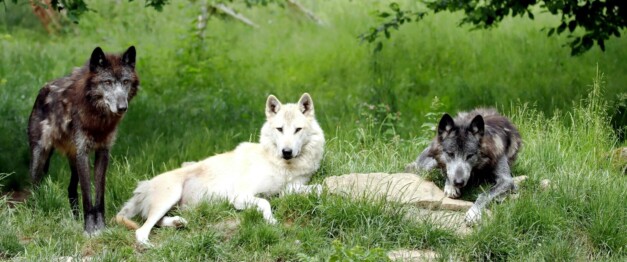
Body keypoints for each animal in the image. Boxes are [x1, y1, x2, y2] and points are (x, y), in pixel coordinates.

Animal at [28, 45, 140, 235]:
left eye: (125, 82)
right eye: (107, 82)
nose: (122, 107)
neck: (98, 119)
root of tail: (42, 90)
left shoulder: (102, 152)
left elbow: (99, 196)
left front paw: (101, 228)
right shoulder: (83, 153)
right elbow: (87, 196)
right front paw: (89, 230)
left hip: (73, 160)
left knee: (71, 189)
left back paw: (75, 220)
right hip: (40, 156)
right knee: (34, 187)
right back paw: (35, 217)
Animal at [114, 92, 326, 246]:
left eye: (297, 129)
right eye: (280, 129)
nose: (287, 152)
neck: (282, 165)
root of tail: (143, 186)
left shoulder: (290, 188)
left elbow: (317, 187)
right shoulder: (240, 197)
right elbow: (265, 202)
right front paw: (271, 221)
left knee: (155, 222)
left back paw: (177, 222)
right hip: (171, 195)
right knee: (141, 231)